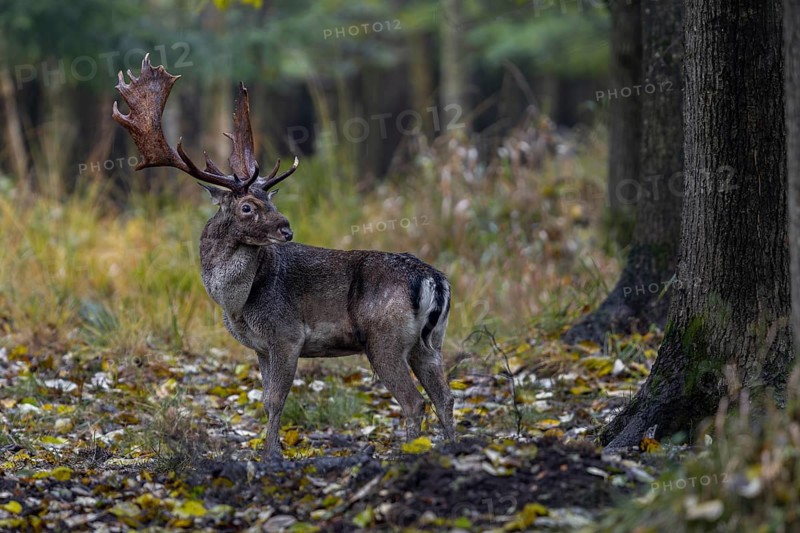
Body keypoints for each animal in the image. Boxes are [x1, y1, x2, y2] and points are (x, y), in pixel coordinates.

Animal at [112, 55, 455, 459]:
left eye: (270, 201)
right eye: (248, 206)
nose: (286, 228)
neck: (236, 303)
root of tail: (435, 281)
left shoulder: (286, 334)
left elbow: (275, 400)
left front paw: (271, 454)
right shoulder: (261, 346)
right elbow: (264, 399)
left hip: (384, 337)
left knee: (414, 401)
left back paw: (408, 452)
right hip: (429, 342)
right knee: (445, 396)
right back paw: (453, 447)